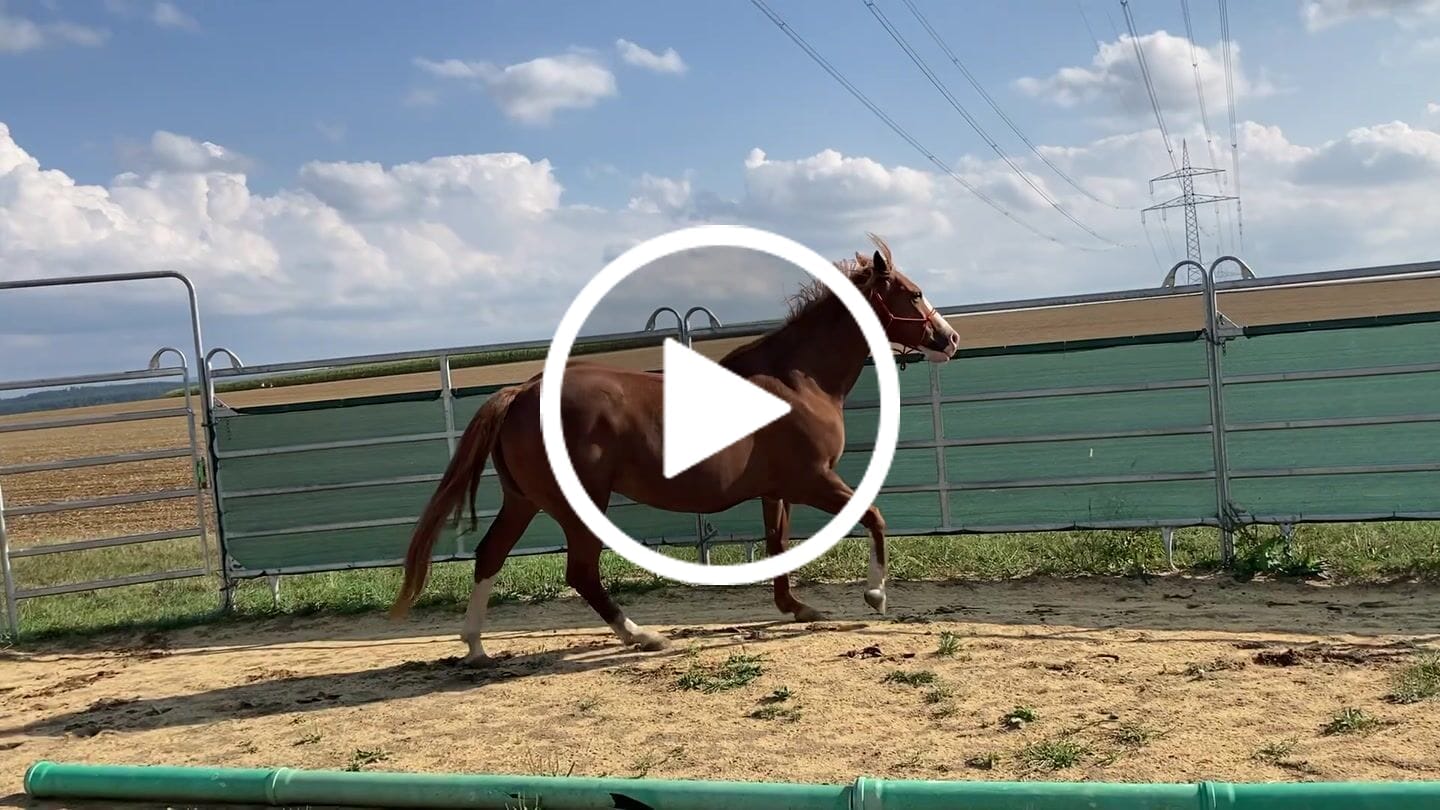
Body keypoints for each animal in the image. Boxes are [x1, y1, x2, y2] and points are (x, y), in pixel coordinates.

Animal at [389, 234, 961, 664]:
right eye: (913, 293)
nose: (950, 339)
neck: (797, 379)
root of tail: (523, 391)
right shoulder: (813, 480)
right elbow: (875, 517)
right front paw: (875, 595)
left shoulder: (777, 490)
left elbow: (778, 547)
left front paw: (798, 609)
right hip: (578, 505)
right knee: (580, 572)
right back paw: (642, 636)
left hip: (524, 500)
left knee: (490, 555)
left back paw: (476, 647)